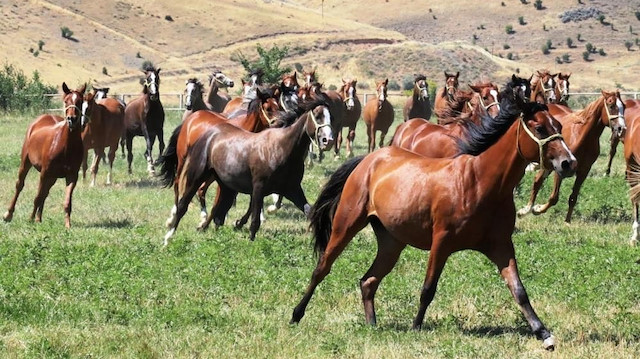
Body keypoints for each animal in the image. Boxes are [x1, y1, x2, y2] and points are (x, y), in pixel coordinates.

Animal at [3, 82, 87, 228]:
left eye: (80, 101)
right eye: (66, 101)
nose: (72, 119)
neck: (66, 146)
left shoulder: (72, 176)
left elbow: (67, 202)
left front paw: (67, 225)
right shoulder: (44, 172)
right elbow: (37, 197)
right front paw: (30, 219)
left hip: (52, 177)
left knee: (45, 193)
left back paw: (39, 218)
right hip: (26, 163)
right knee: (20, 185)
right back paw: (9, 214)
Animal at [157, 86, 278, 231]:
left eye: (278, 106)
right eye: (268, 108)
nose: (281, 122)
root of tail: (191, 118)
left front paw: (238, 222)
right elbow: (219, 201)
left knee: (201, 189)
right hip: (183, 160)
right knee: (177, 183)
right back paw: (173, 217)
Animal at [162, 97, 336, 246]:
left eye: (331, 118)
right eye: (318, 116)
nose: (328, 141)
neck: (281, 149)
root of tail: (208, 132)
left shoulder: (292, 189)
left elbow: (309, 211)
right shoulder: (259, 188)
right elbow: (255, 220)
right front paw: (250, 240)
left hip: (225, 185)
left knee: (218, 209)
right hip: (197, 175)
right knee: (183, 202)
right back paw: (168, 237)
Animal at [292, 88, 576, 352]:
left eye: (559, 126)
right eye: (539, 128)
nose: (569, 163)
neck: (479, 182)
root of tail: (369, 160)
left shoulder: (501, 247)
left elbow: (519, 291)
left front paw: (544, 334)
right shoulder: (441, 243)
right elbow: (428, 288)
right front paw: (416, 327)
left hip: (391, 242)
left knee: (368, 281)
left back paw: (372, 325)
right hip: (346, 225)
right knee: (322, 268)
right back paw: (296, 315)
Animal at [516, 90, 628, 222]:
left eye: (624, 106)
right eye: (611, 106)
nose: (621, 129)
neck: (582, 136)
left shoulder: (584, 171)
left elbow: (573, 197)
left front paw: (567, 221)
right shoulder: (561, 169)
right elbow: (554, 198)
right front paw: (537, 209)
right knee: (537, 181)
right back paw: (526, 209)